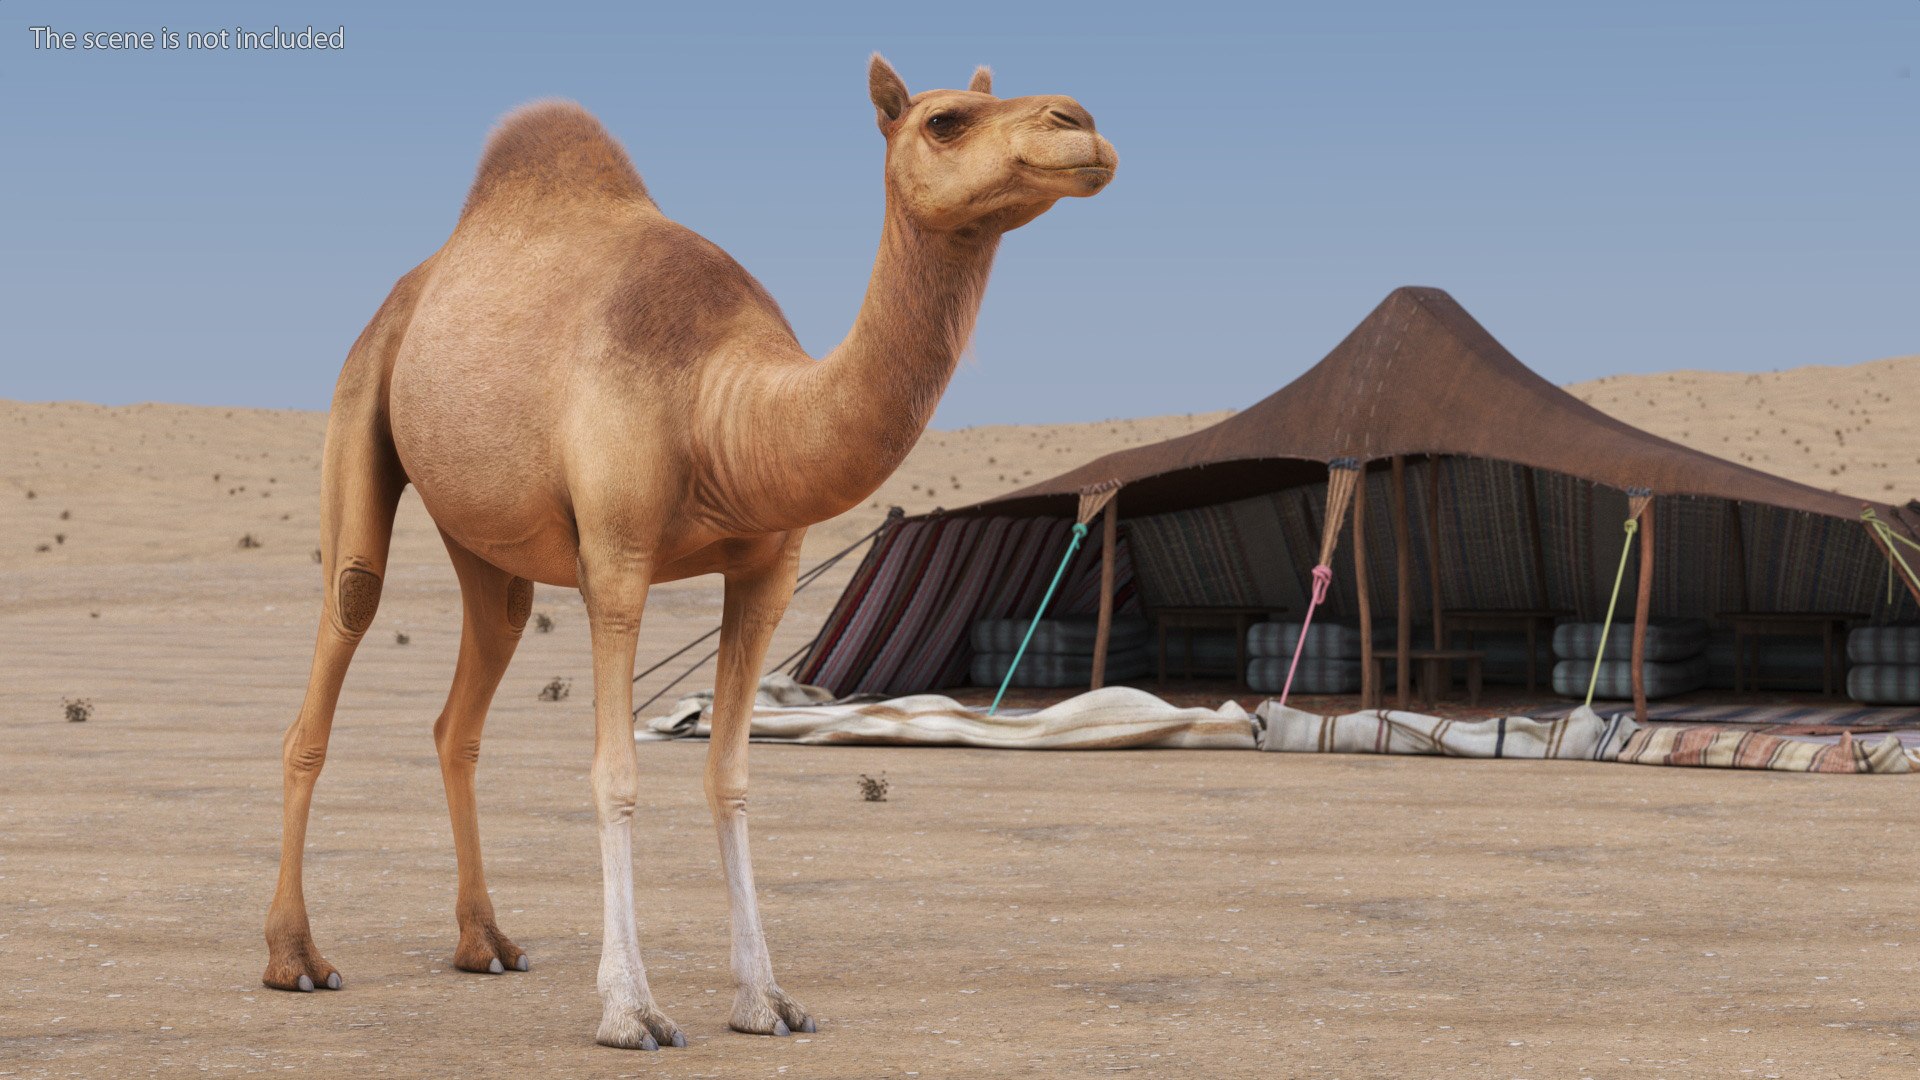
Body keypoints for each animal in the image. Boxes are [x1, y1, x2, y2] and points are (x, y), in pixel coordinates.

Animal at [262, 55, 1117, 1050]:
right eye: (945, 120)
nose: (1080, 124)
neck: (722, 404)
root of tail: (408, 289)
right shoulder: (616, 557)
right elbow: (616, 776)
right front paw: (631, 1009)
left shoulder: (768, 571)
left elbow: (731, 775)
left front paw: (767, 999)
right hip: (361, 396)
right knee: (345, 618)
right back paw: (295, 958)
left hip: (485, 539)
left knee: (469, 693)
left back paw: (486, 943)